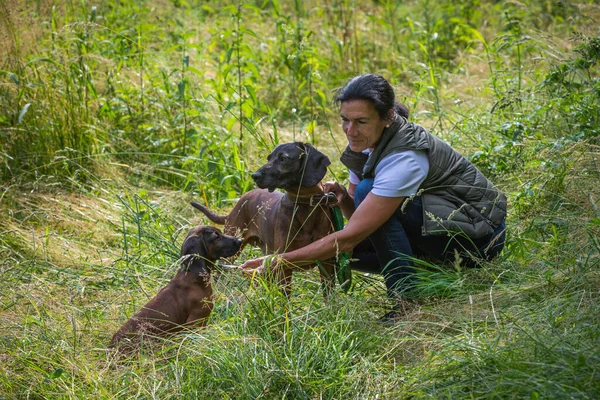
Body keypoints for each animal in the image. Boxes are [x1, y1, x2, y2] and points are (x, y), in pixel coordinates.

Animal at [191, 143, 338, 296]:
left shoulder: (327, 263)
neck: (304, 205)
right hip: (231, 250)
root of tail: (237, 205)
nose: (254, 176)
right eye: (269, 158)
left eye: (283, 158)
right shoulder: (283, 265)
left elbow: (328, 295)